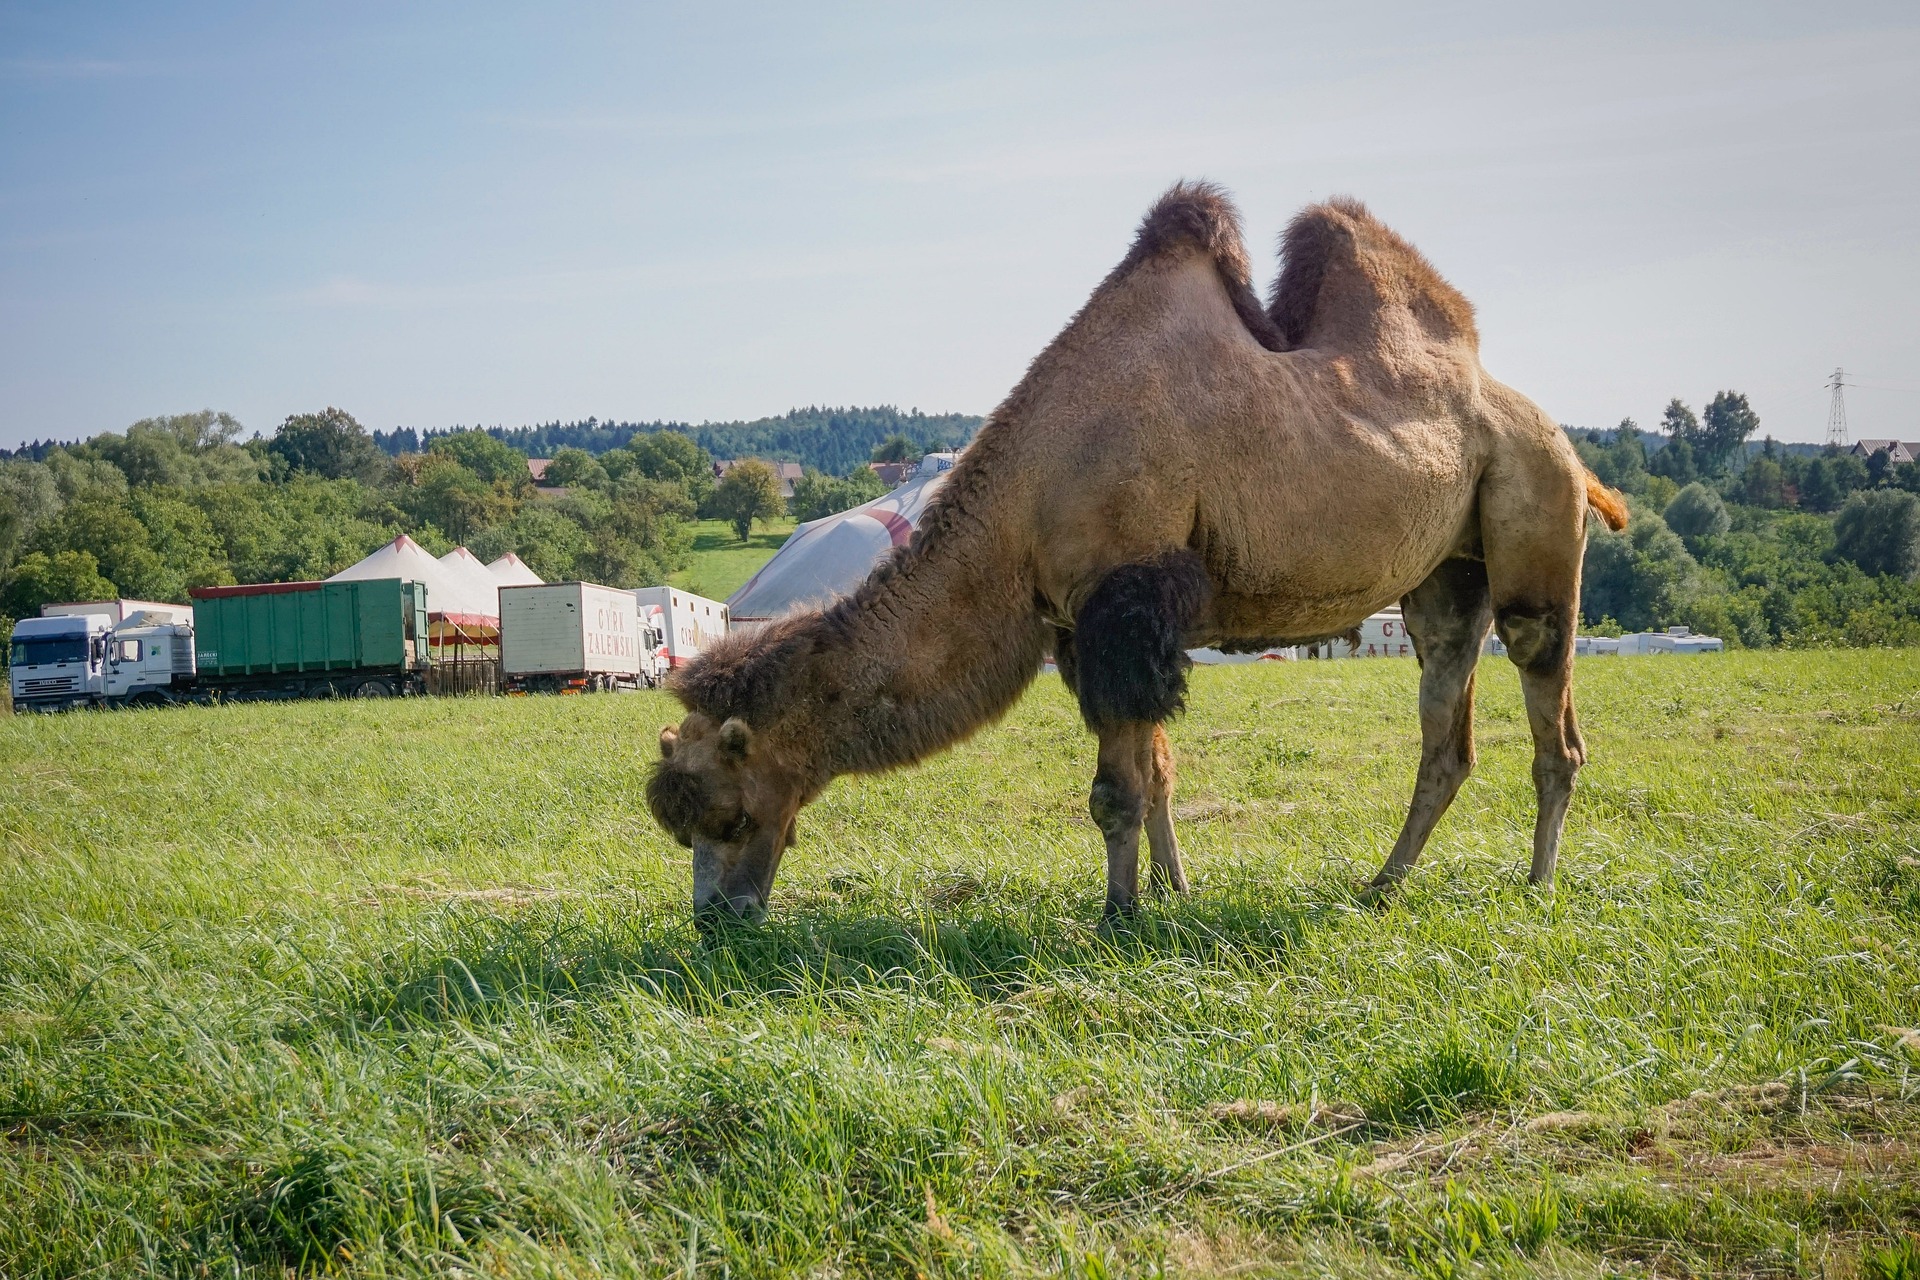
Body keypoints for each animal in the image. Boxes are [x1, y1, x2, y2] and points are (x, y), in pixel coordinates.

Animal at [652, 182, 1628, 921]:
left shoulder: (1124, 599)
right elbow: (1156, 770)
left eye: (729, 816)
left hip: (1534, 512)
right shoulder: (1099, 627)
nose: (716, 921)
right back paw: (1383, 884)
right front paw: (1174, 891)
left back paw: (1537, 885)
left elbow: (1115, 790)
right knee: (1446, 725)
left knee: (1551, 707)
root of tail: (1568, 448)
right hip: (1444, 580)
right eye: (682, 825)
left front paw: (1120, 914)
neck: (1024, 498)